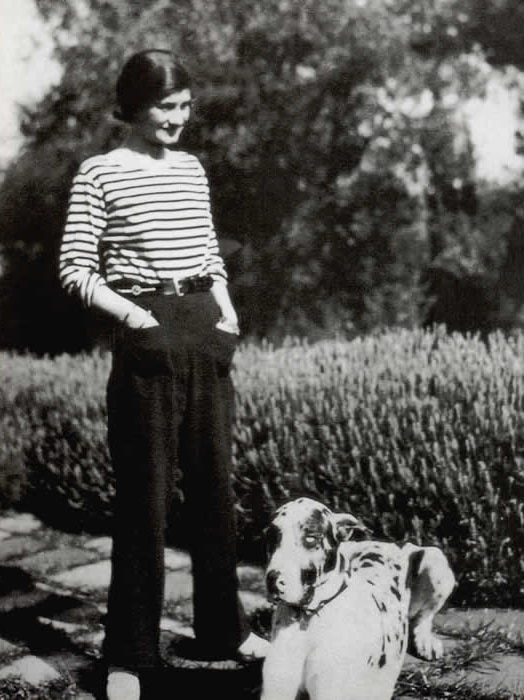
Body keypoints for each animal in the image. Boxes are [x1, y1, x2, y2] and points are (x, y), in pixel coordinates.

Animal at [260, 498, 454, 700]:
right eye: (270, 537)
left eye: (311, 537)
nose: (272, 579)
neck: (309, 617)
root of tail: (389, 542)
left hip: (435, 559)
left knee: (423, 618)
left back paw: (426, 641)